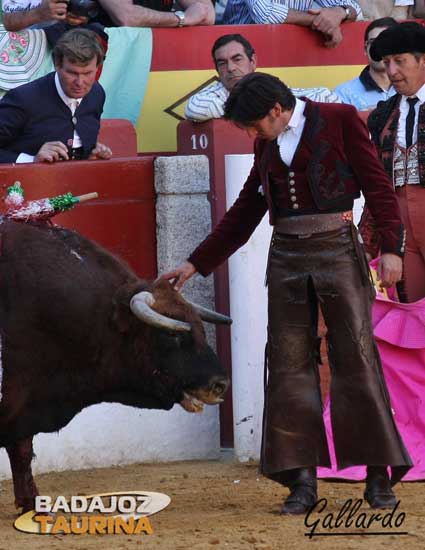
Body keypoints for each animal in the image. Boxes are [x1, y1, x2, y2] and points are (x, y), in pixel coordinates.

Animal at [0, 220, 229, 512]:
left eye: (201, 329)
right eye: (171, 334)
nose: (220, 384)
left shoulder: (24, 401)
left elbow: (22, 451)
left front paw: (31, 503)